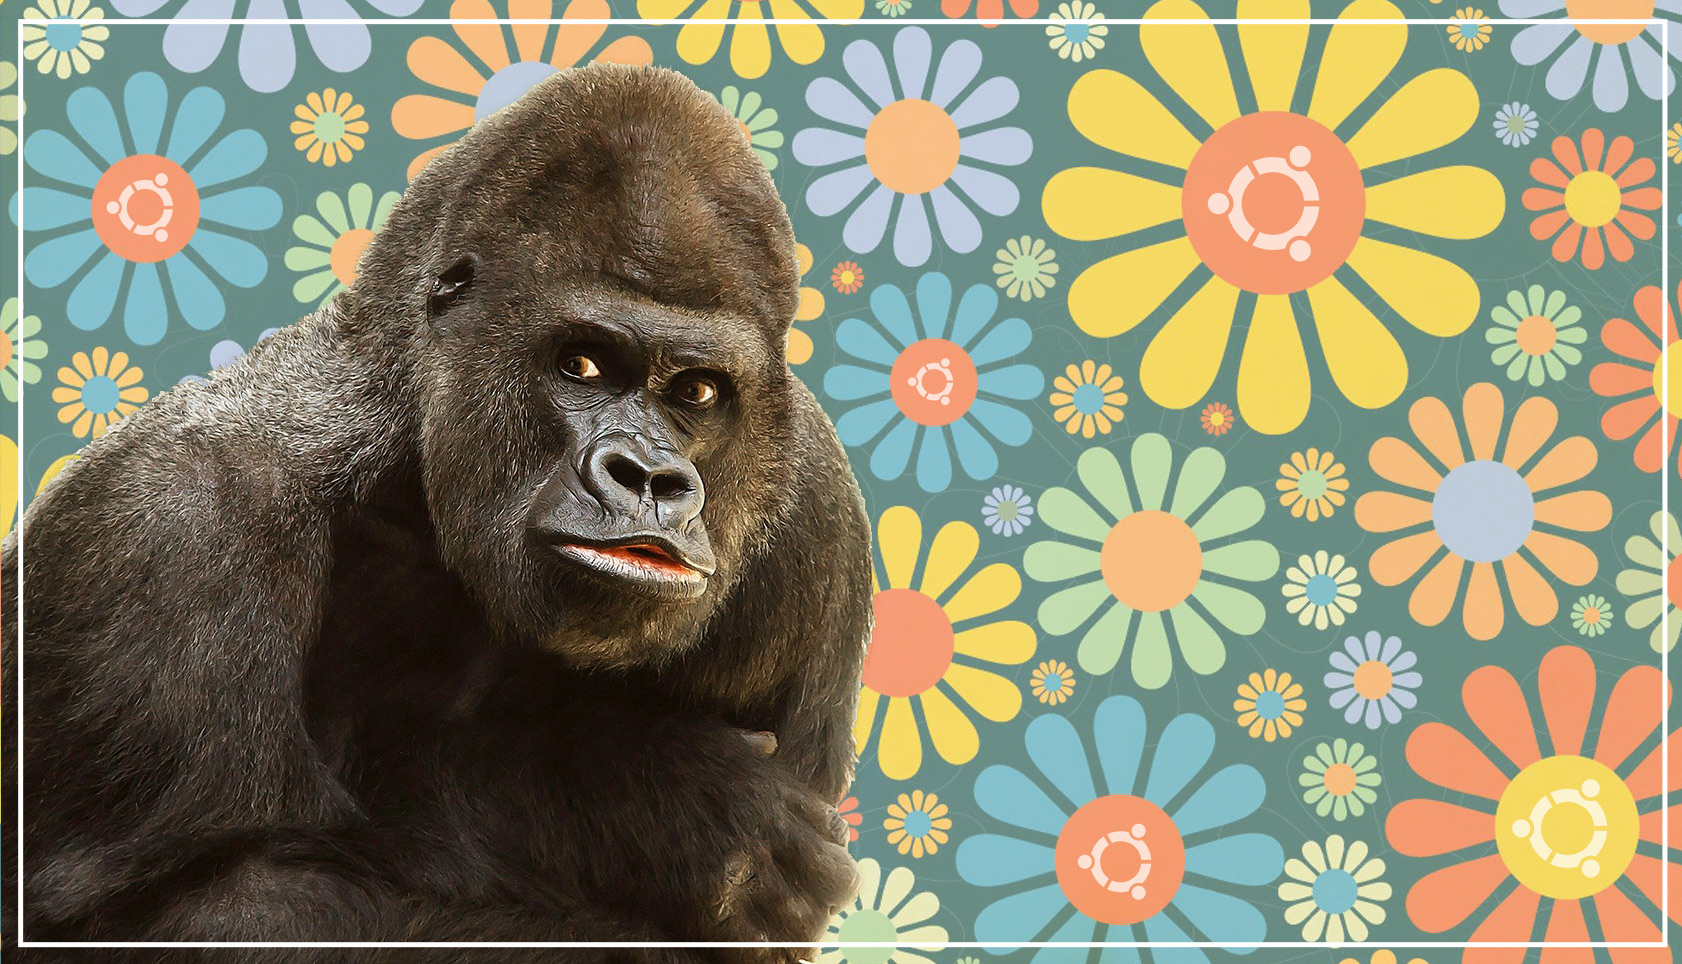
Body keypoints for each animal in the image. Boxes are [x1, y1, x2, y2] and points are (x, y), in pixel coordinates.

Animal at [0, 62, 873, 962]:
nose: (648, 478)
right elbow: (168, 912)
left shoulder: (817, 520)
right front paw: (642, 801)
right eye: (582, 364)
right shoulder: (169, 524)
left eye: (697, 392)